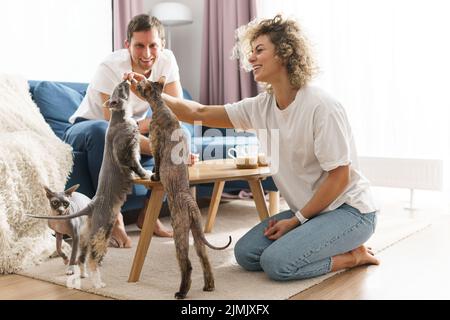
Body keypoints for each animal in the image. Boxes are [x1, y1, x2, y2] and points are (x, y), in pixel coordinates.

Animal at [28, 80, 149, 288]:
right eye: (120, 88)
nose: (126, 80)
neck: (122, 119)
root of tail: (92, 204)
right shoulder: (128, 152)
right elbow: (138, 166)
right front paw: (147, 173)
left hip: (85, 235)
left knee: (82, 257)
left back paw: (83, 274)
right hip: (103, 230)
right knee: (93, 257)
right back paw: (98, 283)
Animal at [134, 77, 232, 300]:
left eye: (140, 87)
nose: (136, 83)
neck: (161, 106)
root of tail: (191, 202)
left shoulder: (155, 144)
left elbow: (157, 165)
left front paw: (154, 176)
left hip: (179, 231)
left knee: (186, 264)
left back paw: (181, 292)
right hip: (196, 234)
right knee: (204, 259)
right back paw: (209, 286)